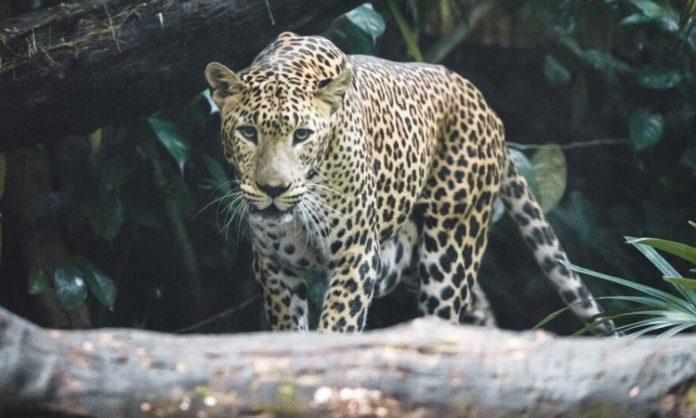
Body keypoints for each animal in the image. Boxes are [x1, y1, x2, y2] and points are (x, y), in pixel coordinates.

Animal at [204, 31, 612, 334]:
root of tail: (485, 105)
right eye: (248, 133)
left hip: (450, 254)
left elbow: (338, 325)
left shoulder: (356, 254)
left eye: (302, 135)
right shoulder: (274, 264)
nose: (274, 190)